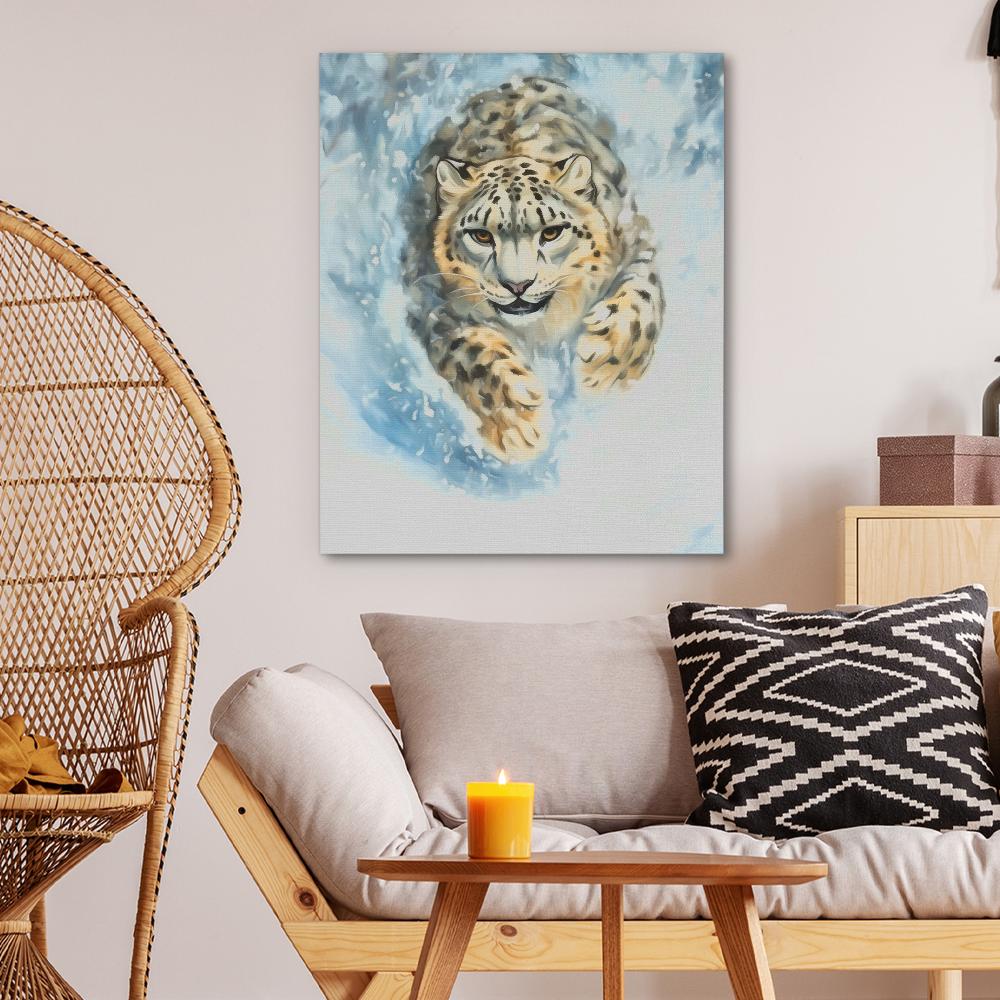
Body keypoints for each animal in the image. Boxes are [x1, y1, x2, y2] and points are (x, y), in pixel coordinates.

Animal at [401, 76, 664, 464]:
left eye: (551, 232)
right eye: (481, 235)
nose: (518, 285)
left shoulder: (636, 238)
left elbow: (642, 297)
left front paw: (605, 369)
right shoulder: (428, 300)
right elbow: (471, 350)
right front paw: (518, 424)